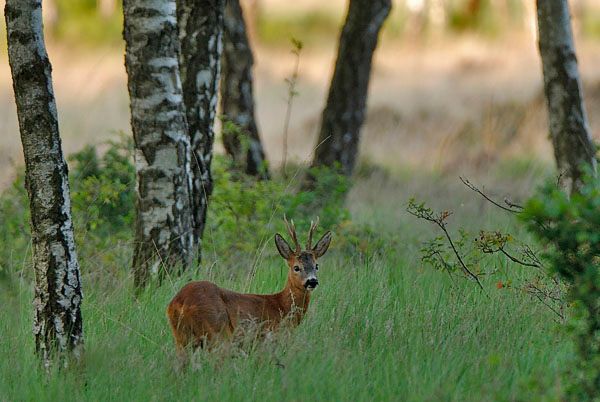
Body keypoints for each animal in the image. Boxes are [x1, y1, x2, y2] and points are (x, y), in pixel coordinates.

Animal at [166, 217, 330, 354]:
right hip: (217, 332)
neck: (282, 306)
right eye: (296, 267)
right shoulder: (267, 339)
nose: (312, 281)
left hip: (181, 338)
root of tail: (179, 302)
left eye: (316, 266)